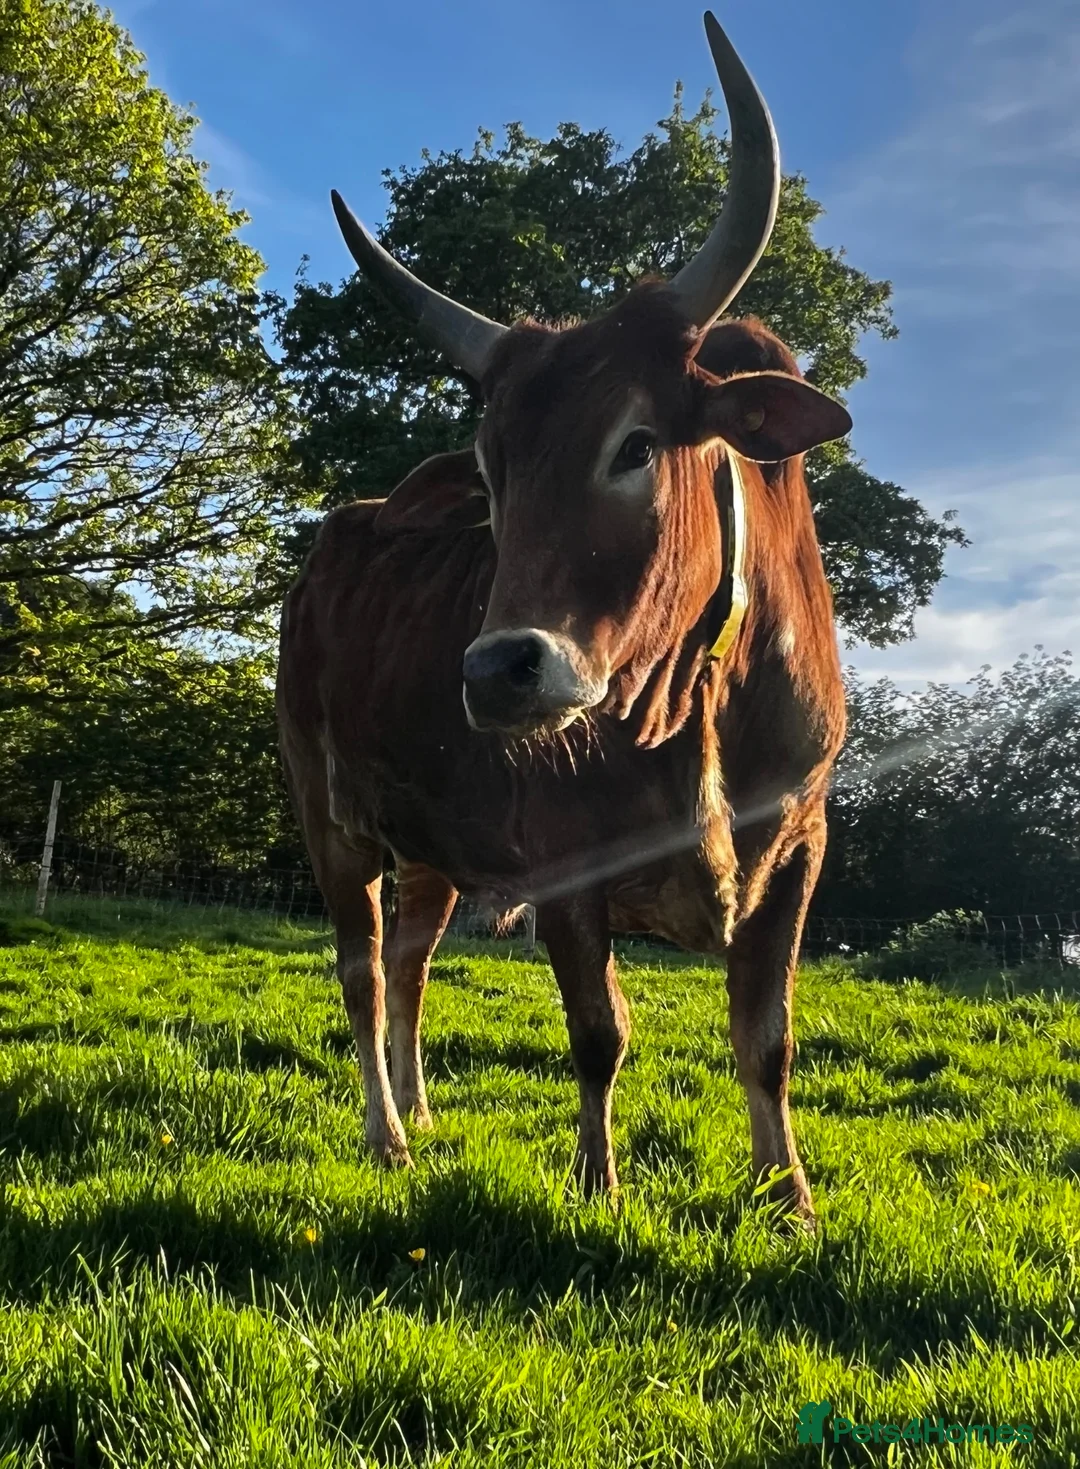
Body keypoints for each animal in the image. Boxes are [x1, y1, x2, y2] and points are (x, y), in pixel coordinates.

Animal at [277, 11, 852, 1225]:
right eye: (491, 472)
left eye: (635, 443)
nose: (499, 671)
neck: (700, 710)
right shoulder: (567, 863)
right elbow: (600, 1035)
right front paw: (599, 1187)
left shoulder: (800, 846)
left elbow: (768, 1038)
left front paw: (788, 1196)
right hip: (330, 813)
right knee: (360, 965)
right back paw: (388, 1134)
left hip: (436, 838)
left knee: (413, 955)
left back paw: (425, 1109)